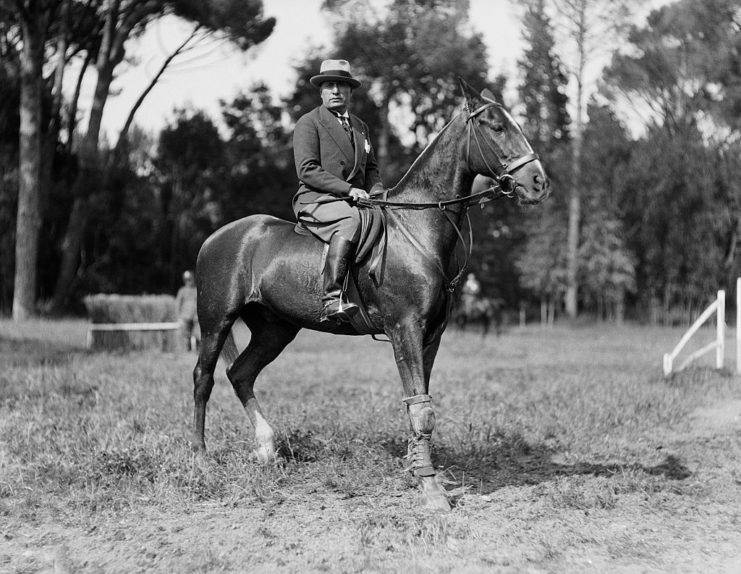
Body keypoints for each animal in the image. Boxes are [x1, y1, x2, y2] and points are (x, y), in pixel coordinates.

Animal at [191, 80, 548, 512]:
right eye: (496, 126)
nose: (538, 182)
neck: (417, 226)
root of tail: (214, 238)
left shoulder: (431, 335)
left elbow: (418, 402)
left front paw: (417, 470)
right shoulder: (404, 329)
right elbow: (422, 410)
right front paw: (431, 490)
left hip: (275, 330)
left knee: (240, 374)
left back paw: (266, 449)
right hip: (216, 322)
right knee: (204, 378)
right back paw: (200, 458)